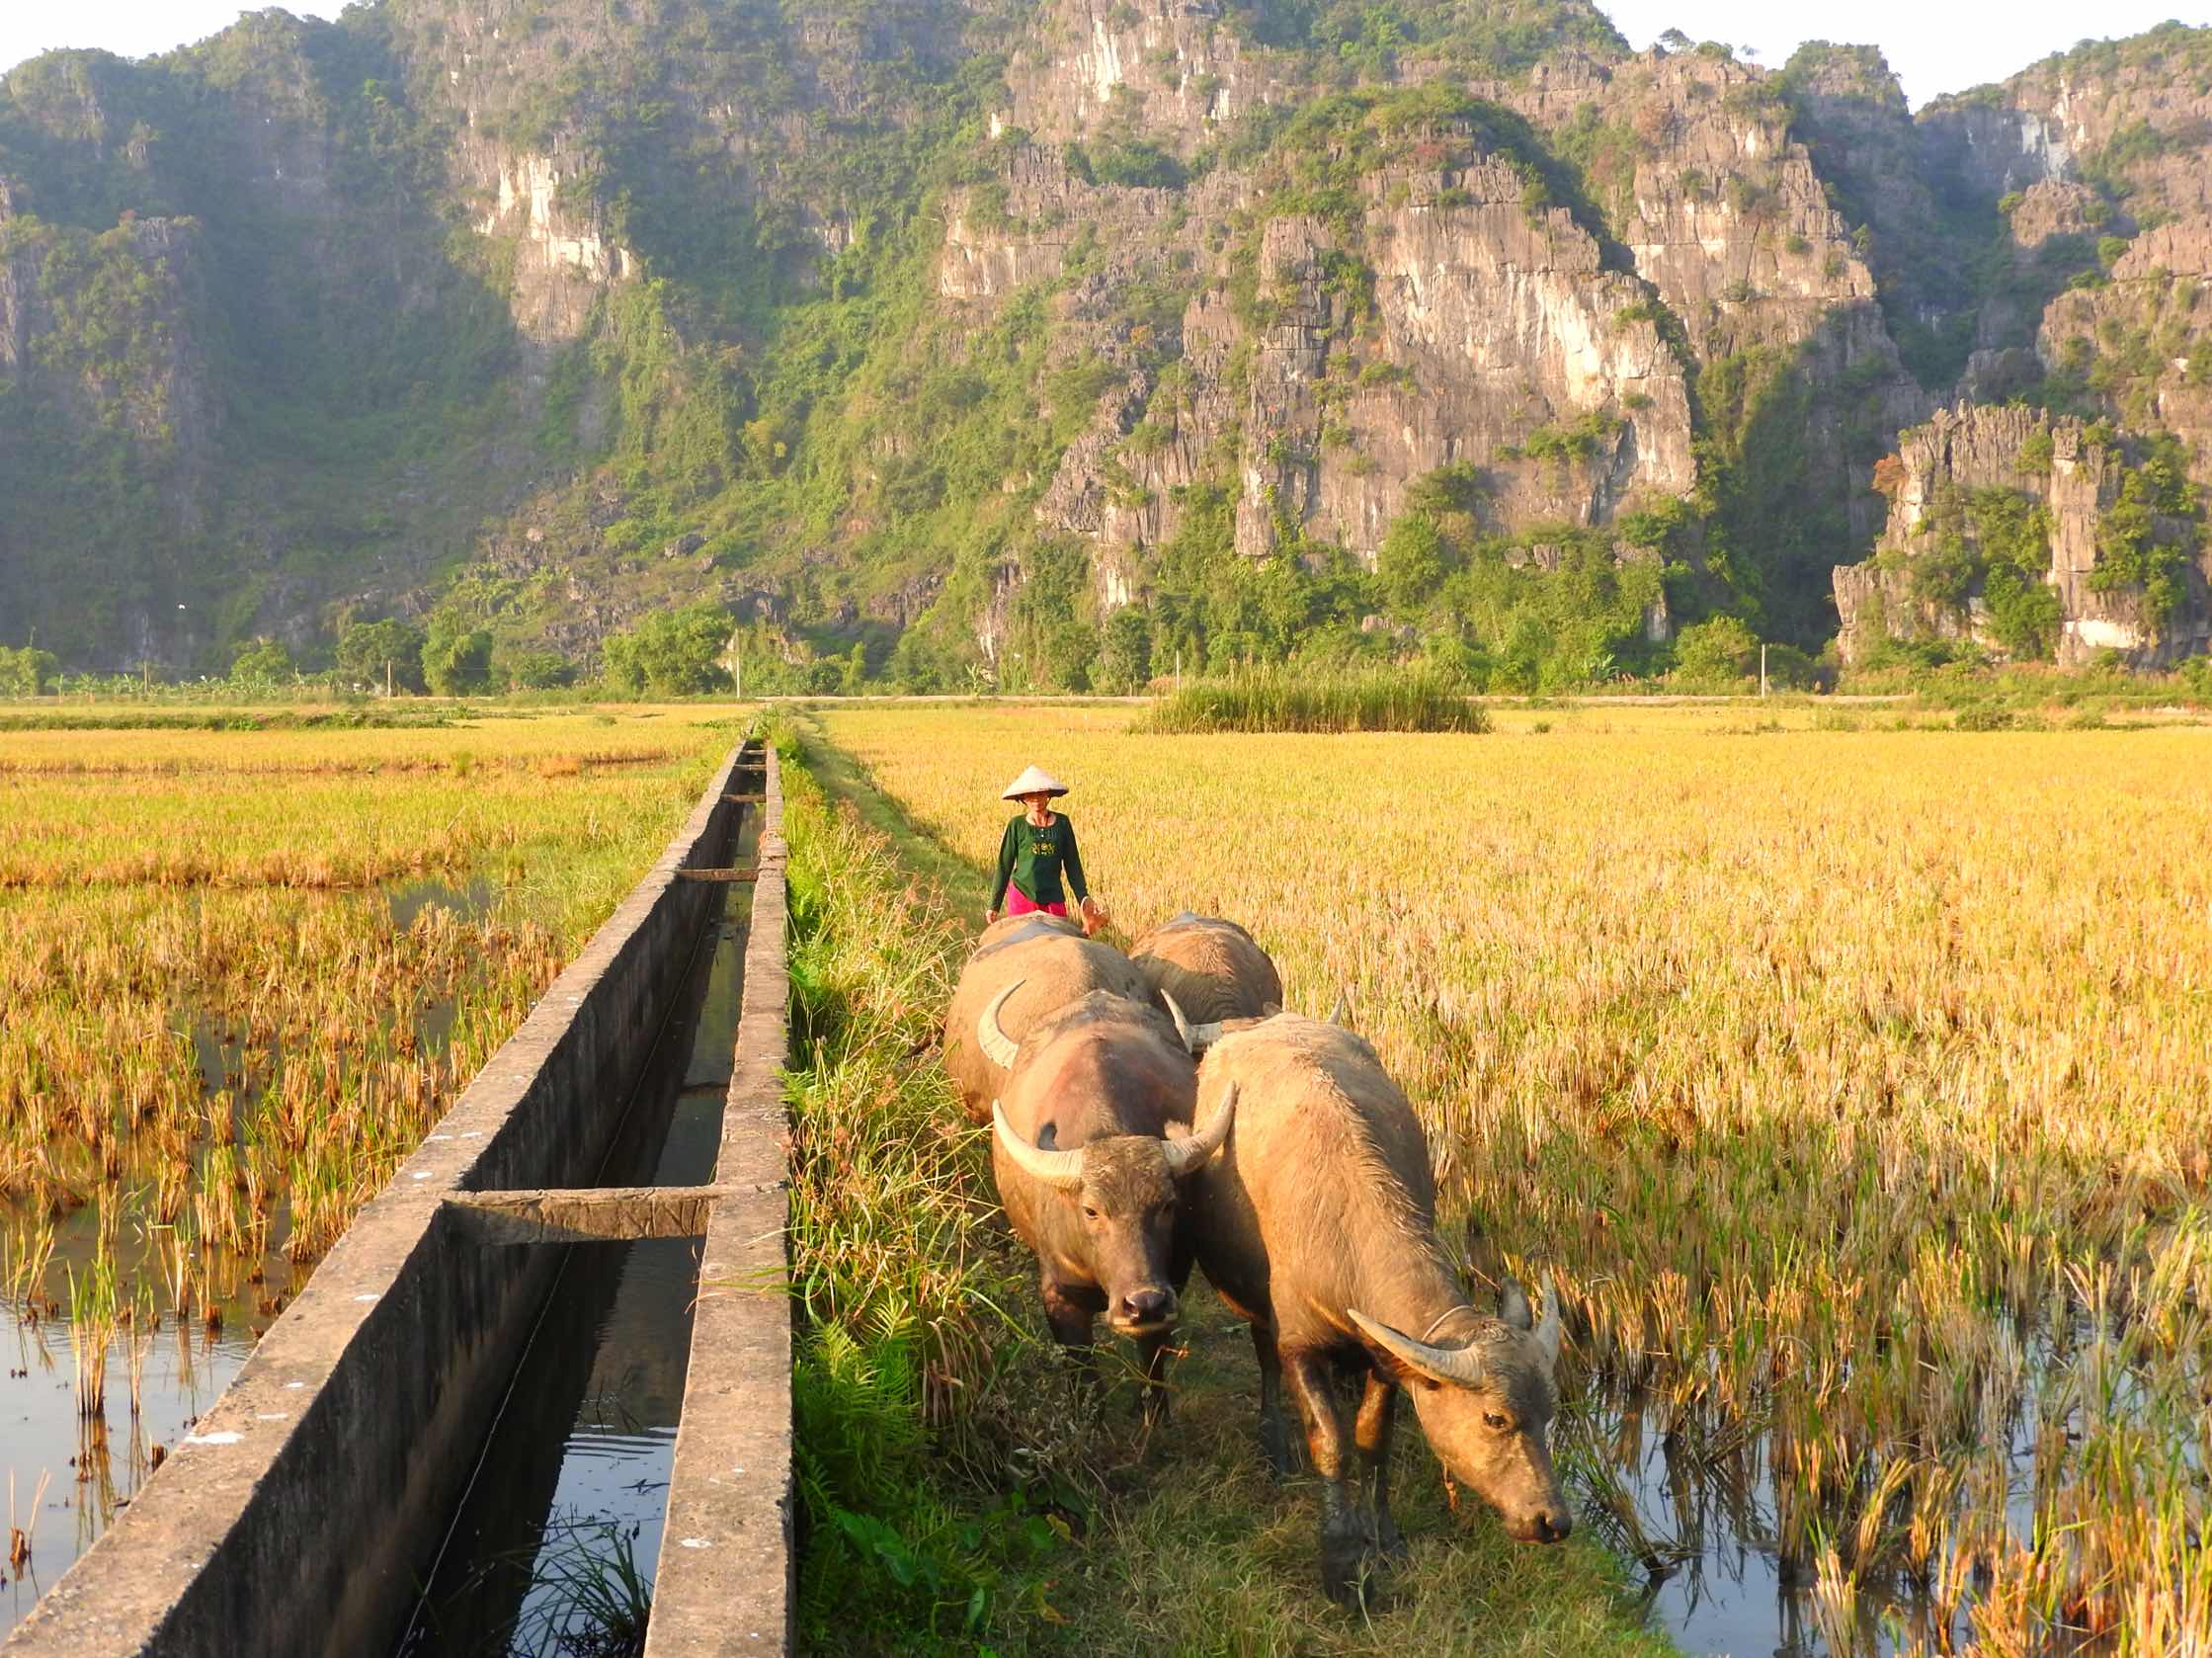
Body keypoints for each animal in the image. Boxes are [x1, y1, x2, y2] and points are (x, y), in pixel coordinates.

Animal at [982, 991, 1238, 1416]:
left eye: (1167, 1205)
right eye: (1091, 1210)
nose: (1143, 1303)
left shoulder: (1173, 1281)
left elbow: (1152, 1356)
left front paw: (1155, 1414)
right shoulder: (1059, 1296)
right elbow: (1083, 1374)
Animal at [1194, 1014, 1575, 1594]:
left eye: (1549, 1411)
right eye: (1495, 1418)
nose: (1551, 1520)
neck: (1344, 1231)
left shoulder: (1387, 1359)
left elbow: (1373, 1440)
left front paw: (1384, 1536)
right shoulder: (1299, 1343)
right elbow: (1330, 1442)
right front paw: (1340, 1557)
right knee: (1262, 1354)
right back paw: (1273, 1444)